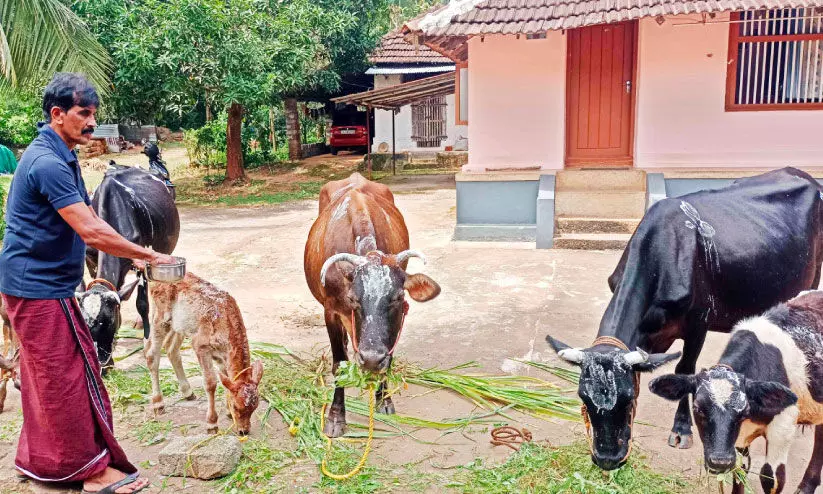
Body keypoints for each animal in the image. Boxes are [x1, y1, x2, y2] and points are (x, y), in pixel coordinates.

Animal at [85, 164, 179, 368]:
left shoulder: (142, 260)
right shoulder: (91, 258)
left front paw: (146, 338)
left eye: (107, 322)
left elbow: (142, 303)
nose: (102, 364)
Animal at [146, 272, 264, 434]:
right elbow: (211, 383)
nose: (243, 431)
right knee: (151, 354)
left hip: (180, 326)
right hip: (160, 317)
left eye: (255, 407)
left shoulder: (223, 356)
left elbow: (226, 380)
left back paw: (188, 392)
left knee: (171, 349)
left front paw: (227, 412)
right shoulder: (201, 346)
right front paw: (212, 424)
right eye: (236, 406)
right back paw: (158, 403)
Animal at [548, 167, 823, 470]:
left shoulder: (698, 324)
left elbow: (684, 371)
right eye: (583, 397)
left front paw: (681, 429)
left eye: (627, 399)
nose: (607, 459)